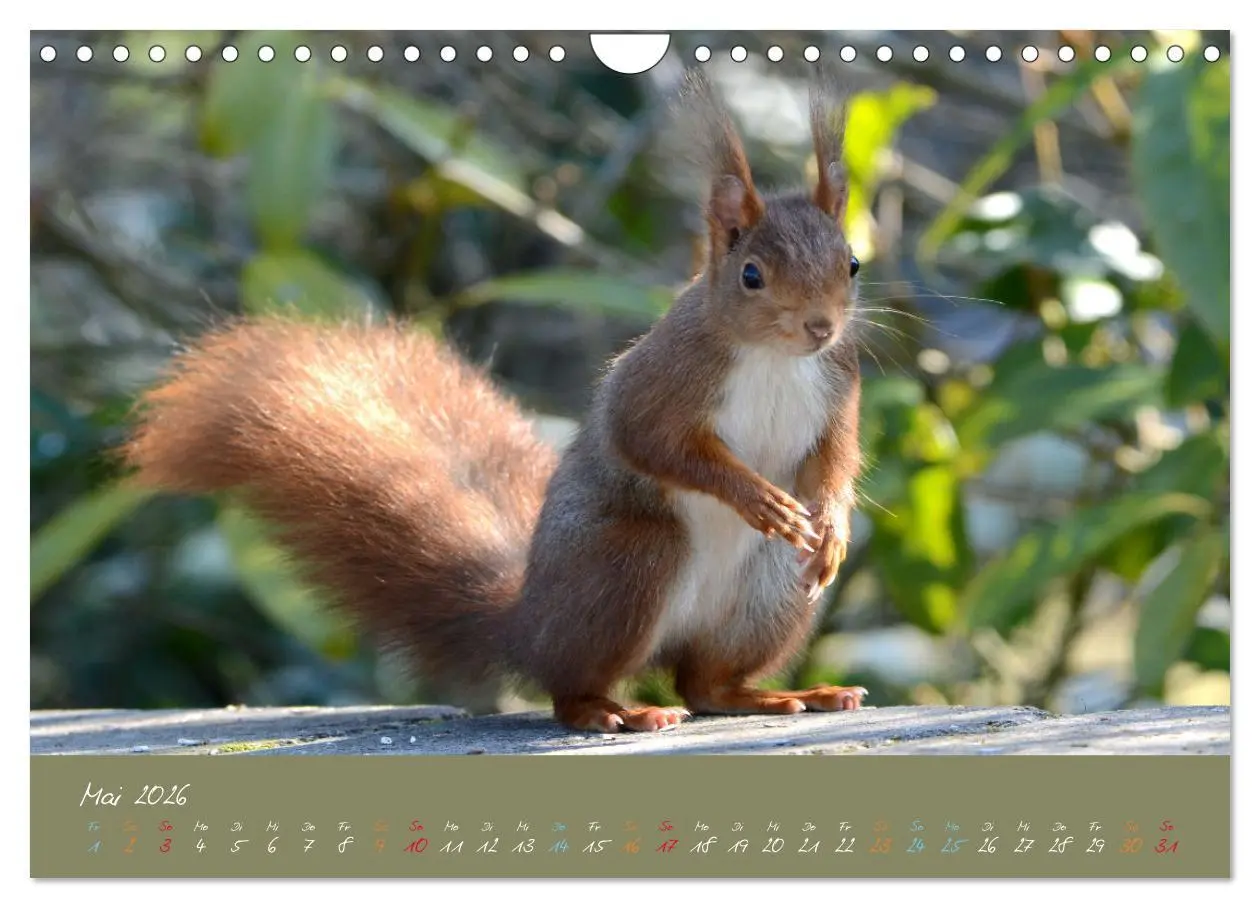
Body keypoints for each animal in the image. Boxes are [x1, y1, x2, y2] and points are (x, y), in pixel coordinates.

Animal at [123, 70, 867, 734]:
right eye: (751, 276)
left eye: (852, 263)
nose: (820, 327)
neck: (775, 359)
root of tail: (527, 624)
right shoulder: (665, 376)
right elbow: (649, 440)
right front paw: (757, 497)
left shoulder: (839, 382)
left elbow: (836, 458)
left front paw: (830, 528)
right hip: (629, 564)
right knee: (575, 683)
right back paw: (612, 710)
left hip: (770, 590)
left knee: (706, 682)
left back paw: (780, 693)